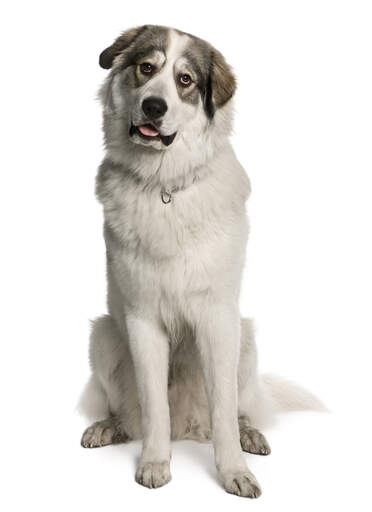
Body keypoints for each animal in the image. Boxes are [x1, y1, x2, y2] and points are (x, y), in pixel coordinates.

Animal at [79, 24, 322, 496]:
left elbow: (224, 409)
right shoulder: (142, 320)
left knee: (234, 409)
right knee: (129, 413)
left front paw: (234, 472)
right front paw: (155, 462)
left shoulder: (217, 319)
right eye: (146, 68)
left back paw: (250, 435)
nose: (154, 106)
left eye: (185, 80)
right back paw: (108, 427)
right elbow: (153, 407)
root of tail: (189, 428)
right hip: (104, 335)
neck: (164, 185)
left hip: (245, 339)